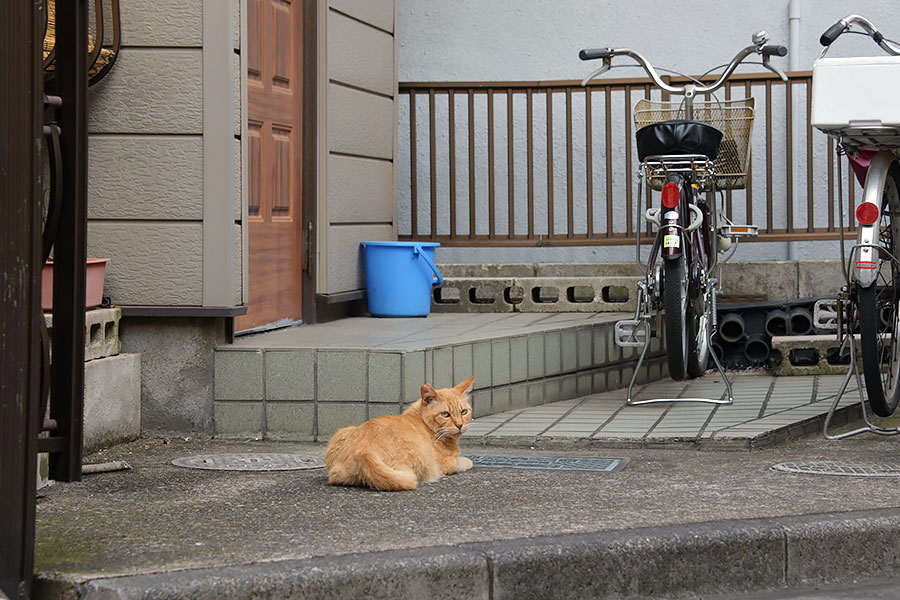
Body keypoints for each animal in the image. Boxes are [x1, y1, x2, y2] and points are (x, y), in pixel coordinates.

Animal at [326, 378, 478, 490]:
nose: (460, 425)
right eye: (445, 414)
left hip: (340, 434)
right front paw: (467, 461)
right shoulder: (449, 463)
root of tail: (362, 451)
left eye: (464, 412)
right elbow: (464, 462)